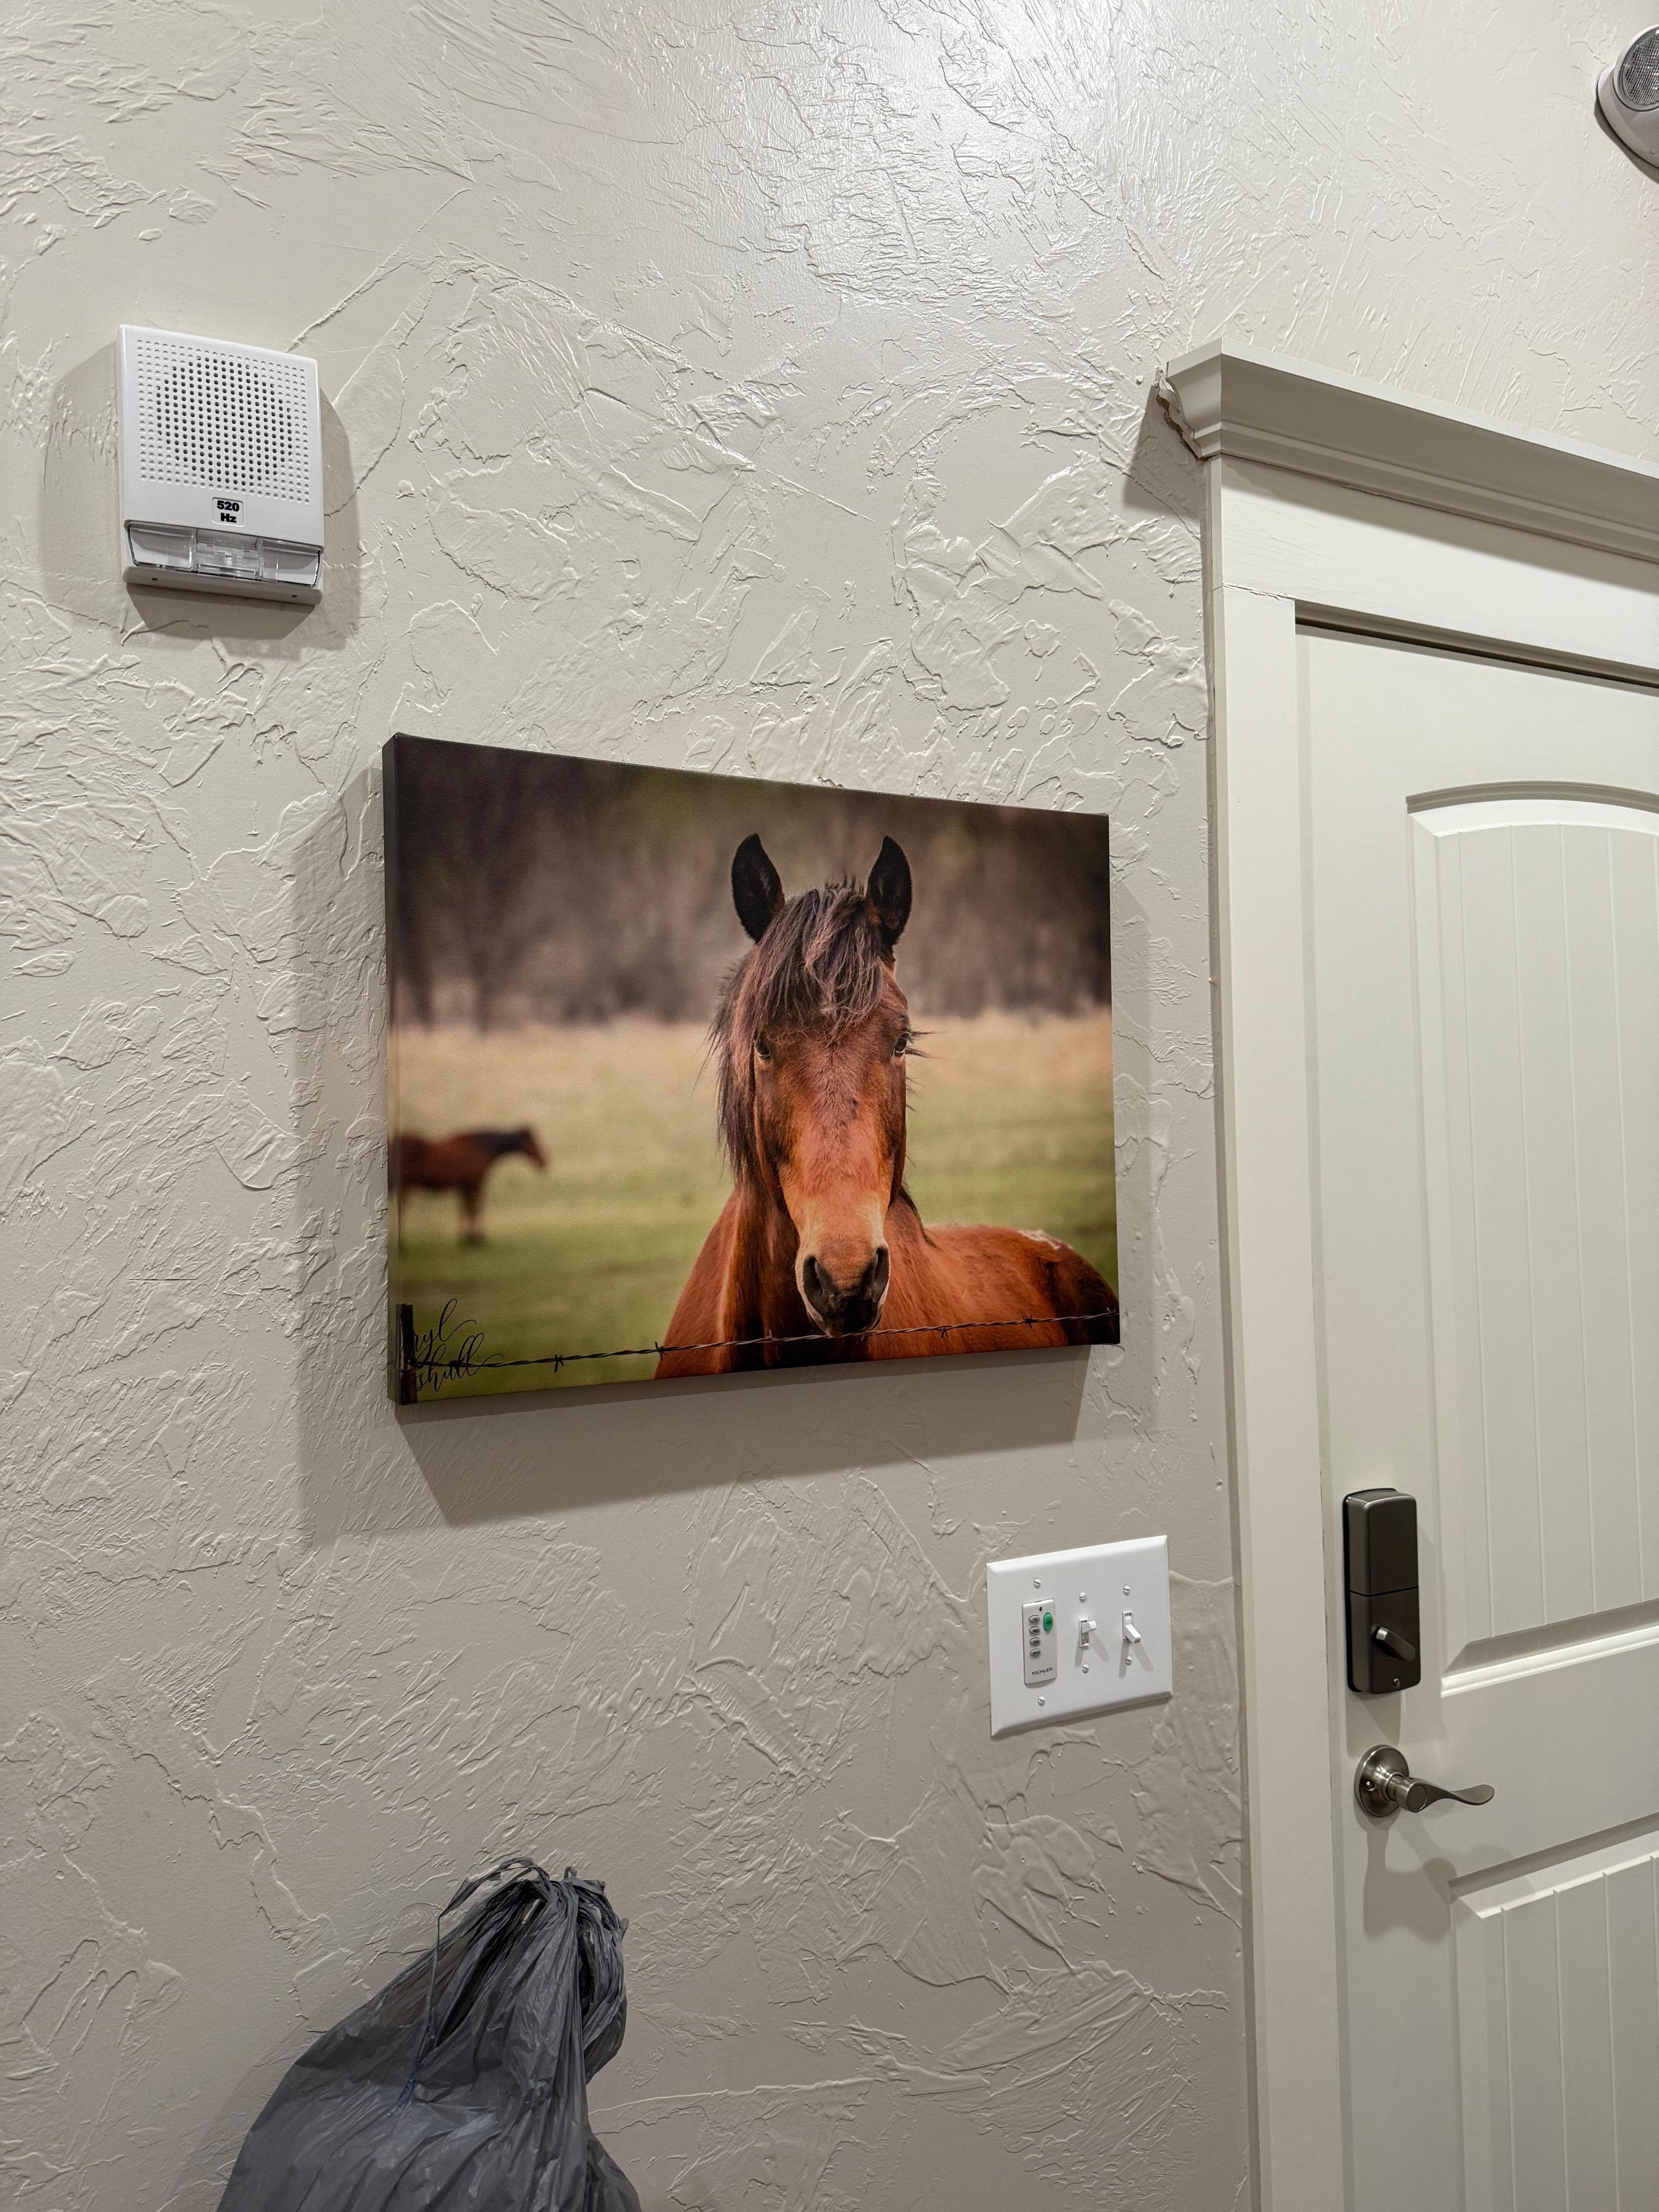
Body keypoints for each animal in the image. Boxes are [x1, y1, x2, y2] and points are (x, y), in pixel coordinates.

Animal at [388, 1127, 546, 1244]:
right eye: (532, 1143)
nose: (545, 1162)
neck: (481, 1149)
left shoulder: (465, 1186)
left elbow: (466, 1209)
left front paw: (466, 1239)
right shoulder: (475, 1185)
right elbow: (475, 1209)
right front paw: (477, 1239)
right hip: (406, 1185)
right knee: (401, 1209)